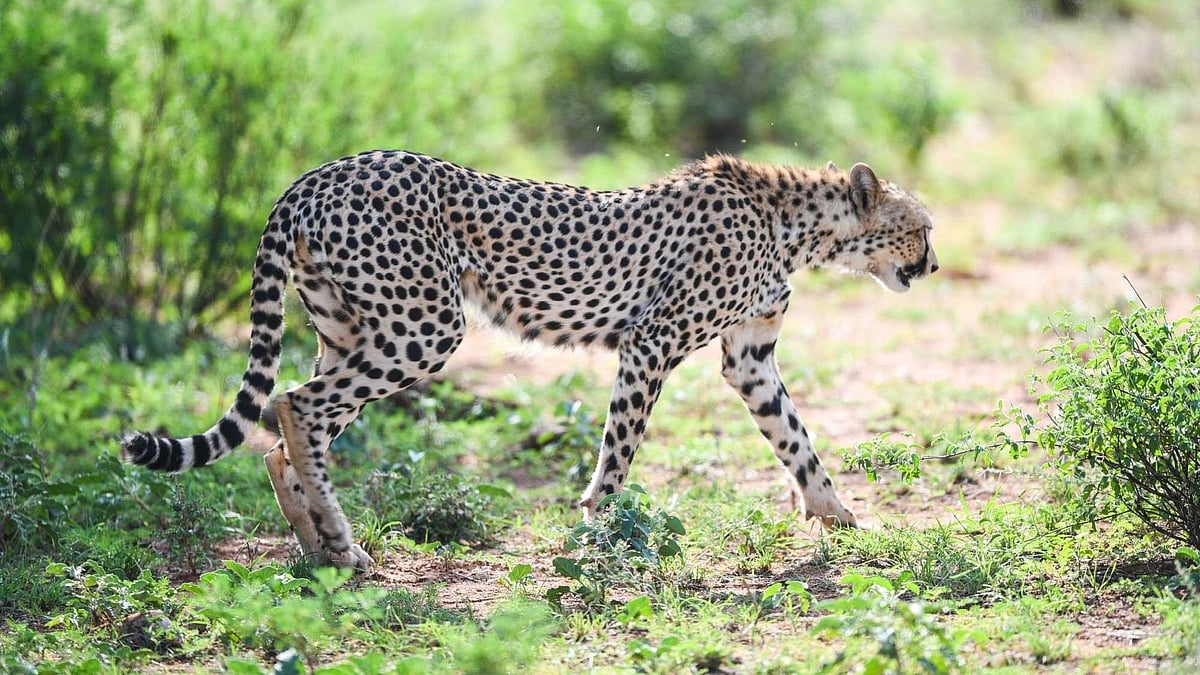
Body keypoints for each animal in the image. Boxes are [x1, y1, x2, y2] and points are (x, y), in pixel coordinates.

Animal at [122, 150, 938, 572]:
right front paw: (597, 532)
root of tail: (319, 172)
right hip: (425, 326)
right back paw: (340, 540)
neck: (797, 225)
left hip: (352, 330)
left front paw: (837, 513)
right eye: (921, 227)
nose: (933, 265)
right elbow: (619, 452)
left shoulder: (750, 357)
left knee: (290, 422)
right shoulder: (651, 342)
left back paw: (318, 541)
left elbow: (794, 436)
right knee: (296, 403)